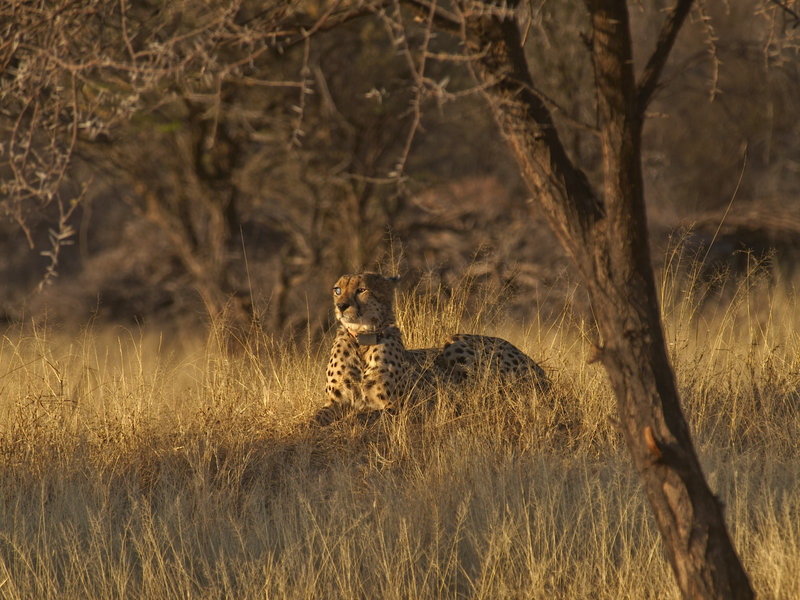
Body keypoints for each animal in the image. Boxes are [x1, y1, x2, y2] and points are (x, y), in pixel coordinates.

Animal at [316, 272, 550, 424]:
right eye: (338, 290)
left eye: (361, 289)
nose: (341, 306)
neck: (362, 340)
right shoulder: (334, 402)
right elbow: (316, 417)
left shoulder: (396, 406)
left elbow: (361, 415)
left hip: (454, 341)